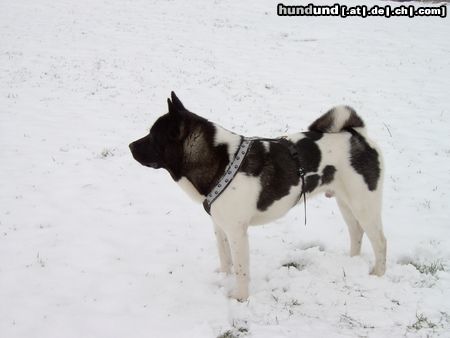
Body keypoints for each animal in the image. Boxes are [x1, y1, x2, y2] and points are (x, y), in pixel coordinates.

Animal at [130, 92, 386, 302]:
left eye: (153, 136)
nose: (131, 146)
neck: (220, 161)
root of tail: (357, 136)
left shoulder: (237, 232)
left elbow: (241, 269)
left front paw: (240, 298)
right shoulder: (220, 226)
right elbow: (225, 258)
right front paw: (224, 278)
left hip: (364, 205)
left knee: (380, 241)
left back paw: (378, 274)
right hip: (346, 203)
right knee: (356, 232)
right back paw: (352, 262)